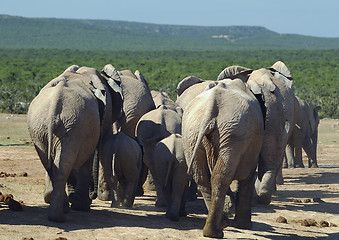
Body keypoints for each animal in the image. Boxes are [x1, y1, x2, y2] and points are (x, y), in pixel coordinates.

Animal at [27, 64, 123, 221]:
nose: (93, 195)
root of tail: (55, 104)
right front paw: (81, 206)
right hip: (69, 124)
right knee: (64, 164)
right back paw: (62, 214)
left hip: (43, 127)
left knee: (56, 163)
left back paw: (58, 210)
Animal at [183, 79, 266, 238]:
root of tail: (211, 106)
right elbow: (248, 175)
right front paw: (244, 226)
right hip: (234, 133)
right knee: (220, 177)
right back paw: (216, 232)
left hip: (193, 133)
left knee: (202, 178)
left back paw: (217, 227)